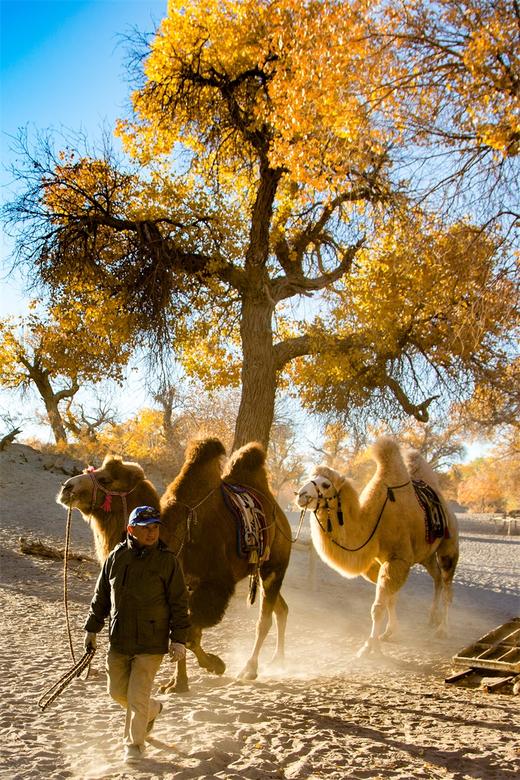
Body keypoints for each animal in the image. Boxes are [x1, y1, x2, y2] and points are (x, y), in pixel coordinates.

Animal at [160, 436, 292, 692]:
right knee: (281, 609)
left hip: (274, 567)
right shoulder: (184, 586)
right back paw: (277, 660)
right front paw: (177, 683)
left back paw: (250, 669)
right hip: (263, 573)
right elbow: (182, 633)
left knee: (264, 620)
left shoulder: (215, 583)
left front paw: (215, 665)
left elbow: (190, 635)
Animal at [296, 436, 460, 656]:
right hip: (426, 555)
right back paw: (432, 619)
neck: (373, 522)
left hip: (449, 546)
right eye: (309, 477)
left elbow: (378, 605)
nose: (301, 495)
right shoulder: (374, 563)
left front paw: (369, 646)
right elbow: (390, 599)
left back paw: (443, 629)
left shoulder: (397, 559)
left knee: (448, 584)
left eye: (325, 484)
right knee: (437, 579)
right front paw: (391, 633)